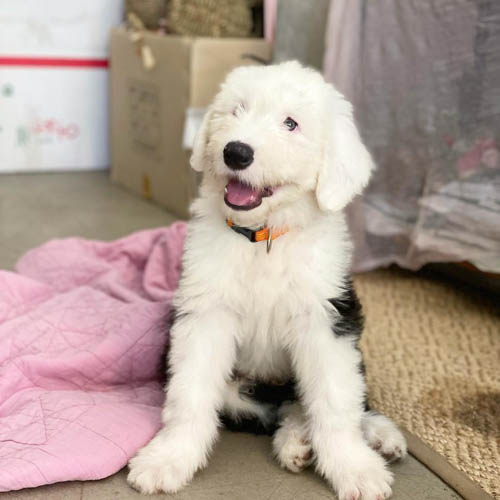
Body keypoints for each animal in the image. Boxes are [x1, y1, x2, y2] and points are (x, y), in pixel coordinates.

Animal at [126, 61, 406, 500]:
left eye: (291, 123)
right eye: (236, 109)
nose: (236, 151)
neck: (263, 238)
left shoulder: (327, 318)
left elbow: (335, 399)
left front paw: (354, 468)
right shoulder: (204, 314)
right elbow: (189, 393)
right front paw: (168, 459)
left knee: (335, 398)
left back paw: (378, 434)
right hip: (235, 384)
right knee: (279, 405)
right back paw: (297, 441)